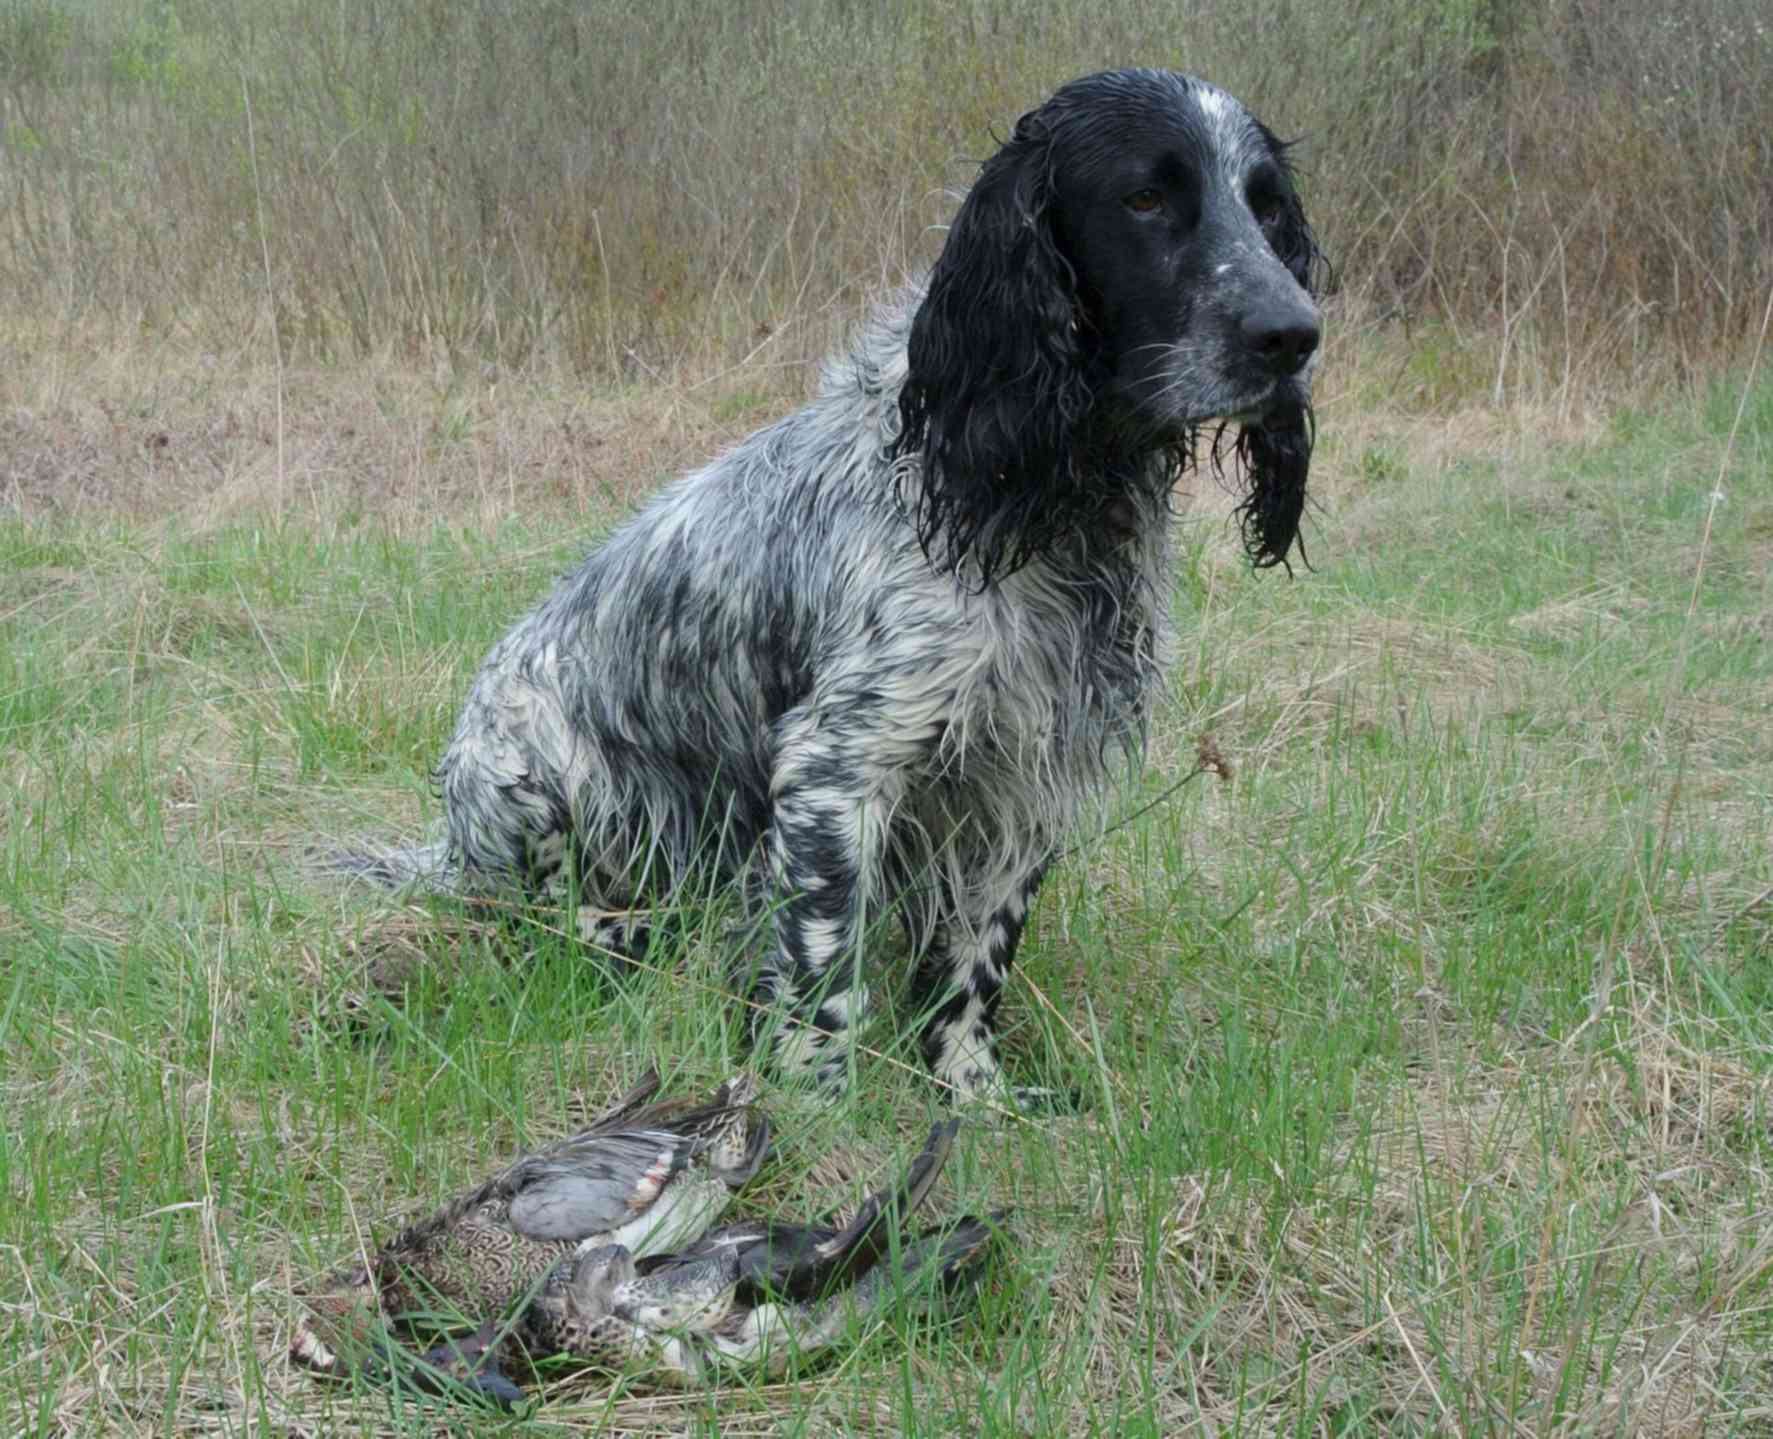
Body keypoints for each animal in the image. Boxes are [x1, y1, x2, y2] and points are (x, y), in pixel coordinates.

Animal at [338, 64, 1326, 1098]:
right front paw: (815, 1107)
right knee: (538, 916)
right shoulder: (836, 768)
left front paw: (970, 1092)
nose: (1293, 335)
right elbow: (824, 970)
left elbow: (976, 961)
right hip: (527, 780)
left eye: (1265, 207)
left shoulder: (1024, 774)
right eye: (1144, 199)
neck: (1035, 496)